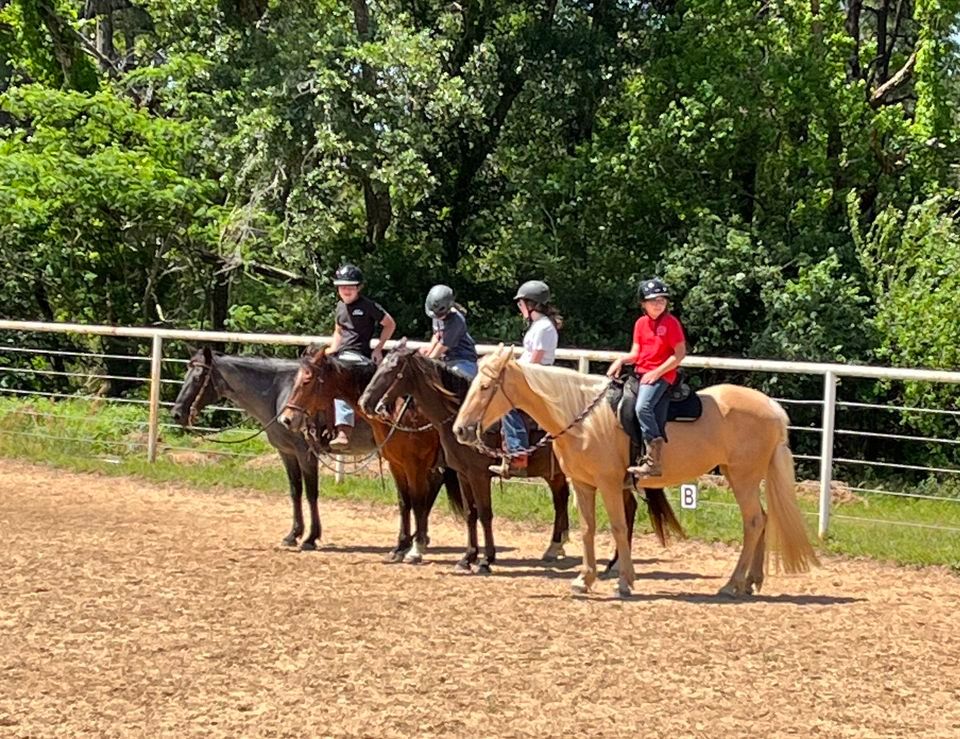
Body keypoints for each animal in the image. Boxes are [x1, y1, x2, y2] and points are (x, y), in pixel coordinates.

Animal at [170, 346, 375, 551]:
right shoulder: (287, 452)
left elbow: (311, 493)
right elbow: (295, 491)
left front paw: (311, 538)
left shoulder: (306, 453)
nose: (177, 414)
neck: (279, 394)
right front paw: (293, 535)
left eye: (198, 377)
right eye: (186, 374)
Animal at [277, 345, 461, 564]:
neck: (400, 411)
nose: (286, 419)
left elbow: (416, 501)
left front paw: (415, 549)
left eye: (308, 380)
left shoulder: (414, 464)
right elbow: (404, 502)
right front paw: (401, 546)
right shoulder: (396, 464)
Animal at [452, 346, 819, 598]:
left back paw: (731, 584)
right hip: (742, 475)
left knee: (753, 522)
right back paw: (751, 581)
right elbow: (587, 529)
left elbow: (617, 527)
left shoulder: (609, 484)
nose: (460, 430)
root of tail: (772, 408)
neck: (581, 417)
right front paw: (584, 579)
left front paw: (624, 582)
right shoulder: (582, 485)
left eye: (485, 388)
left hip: (743, 477)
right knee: (763, 519)